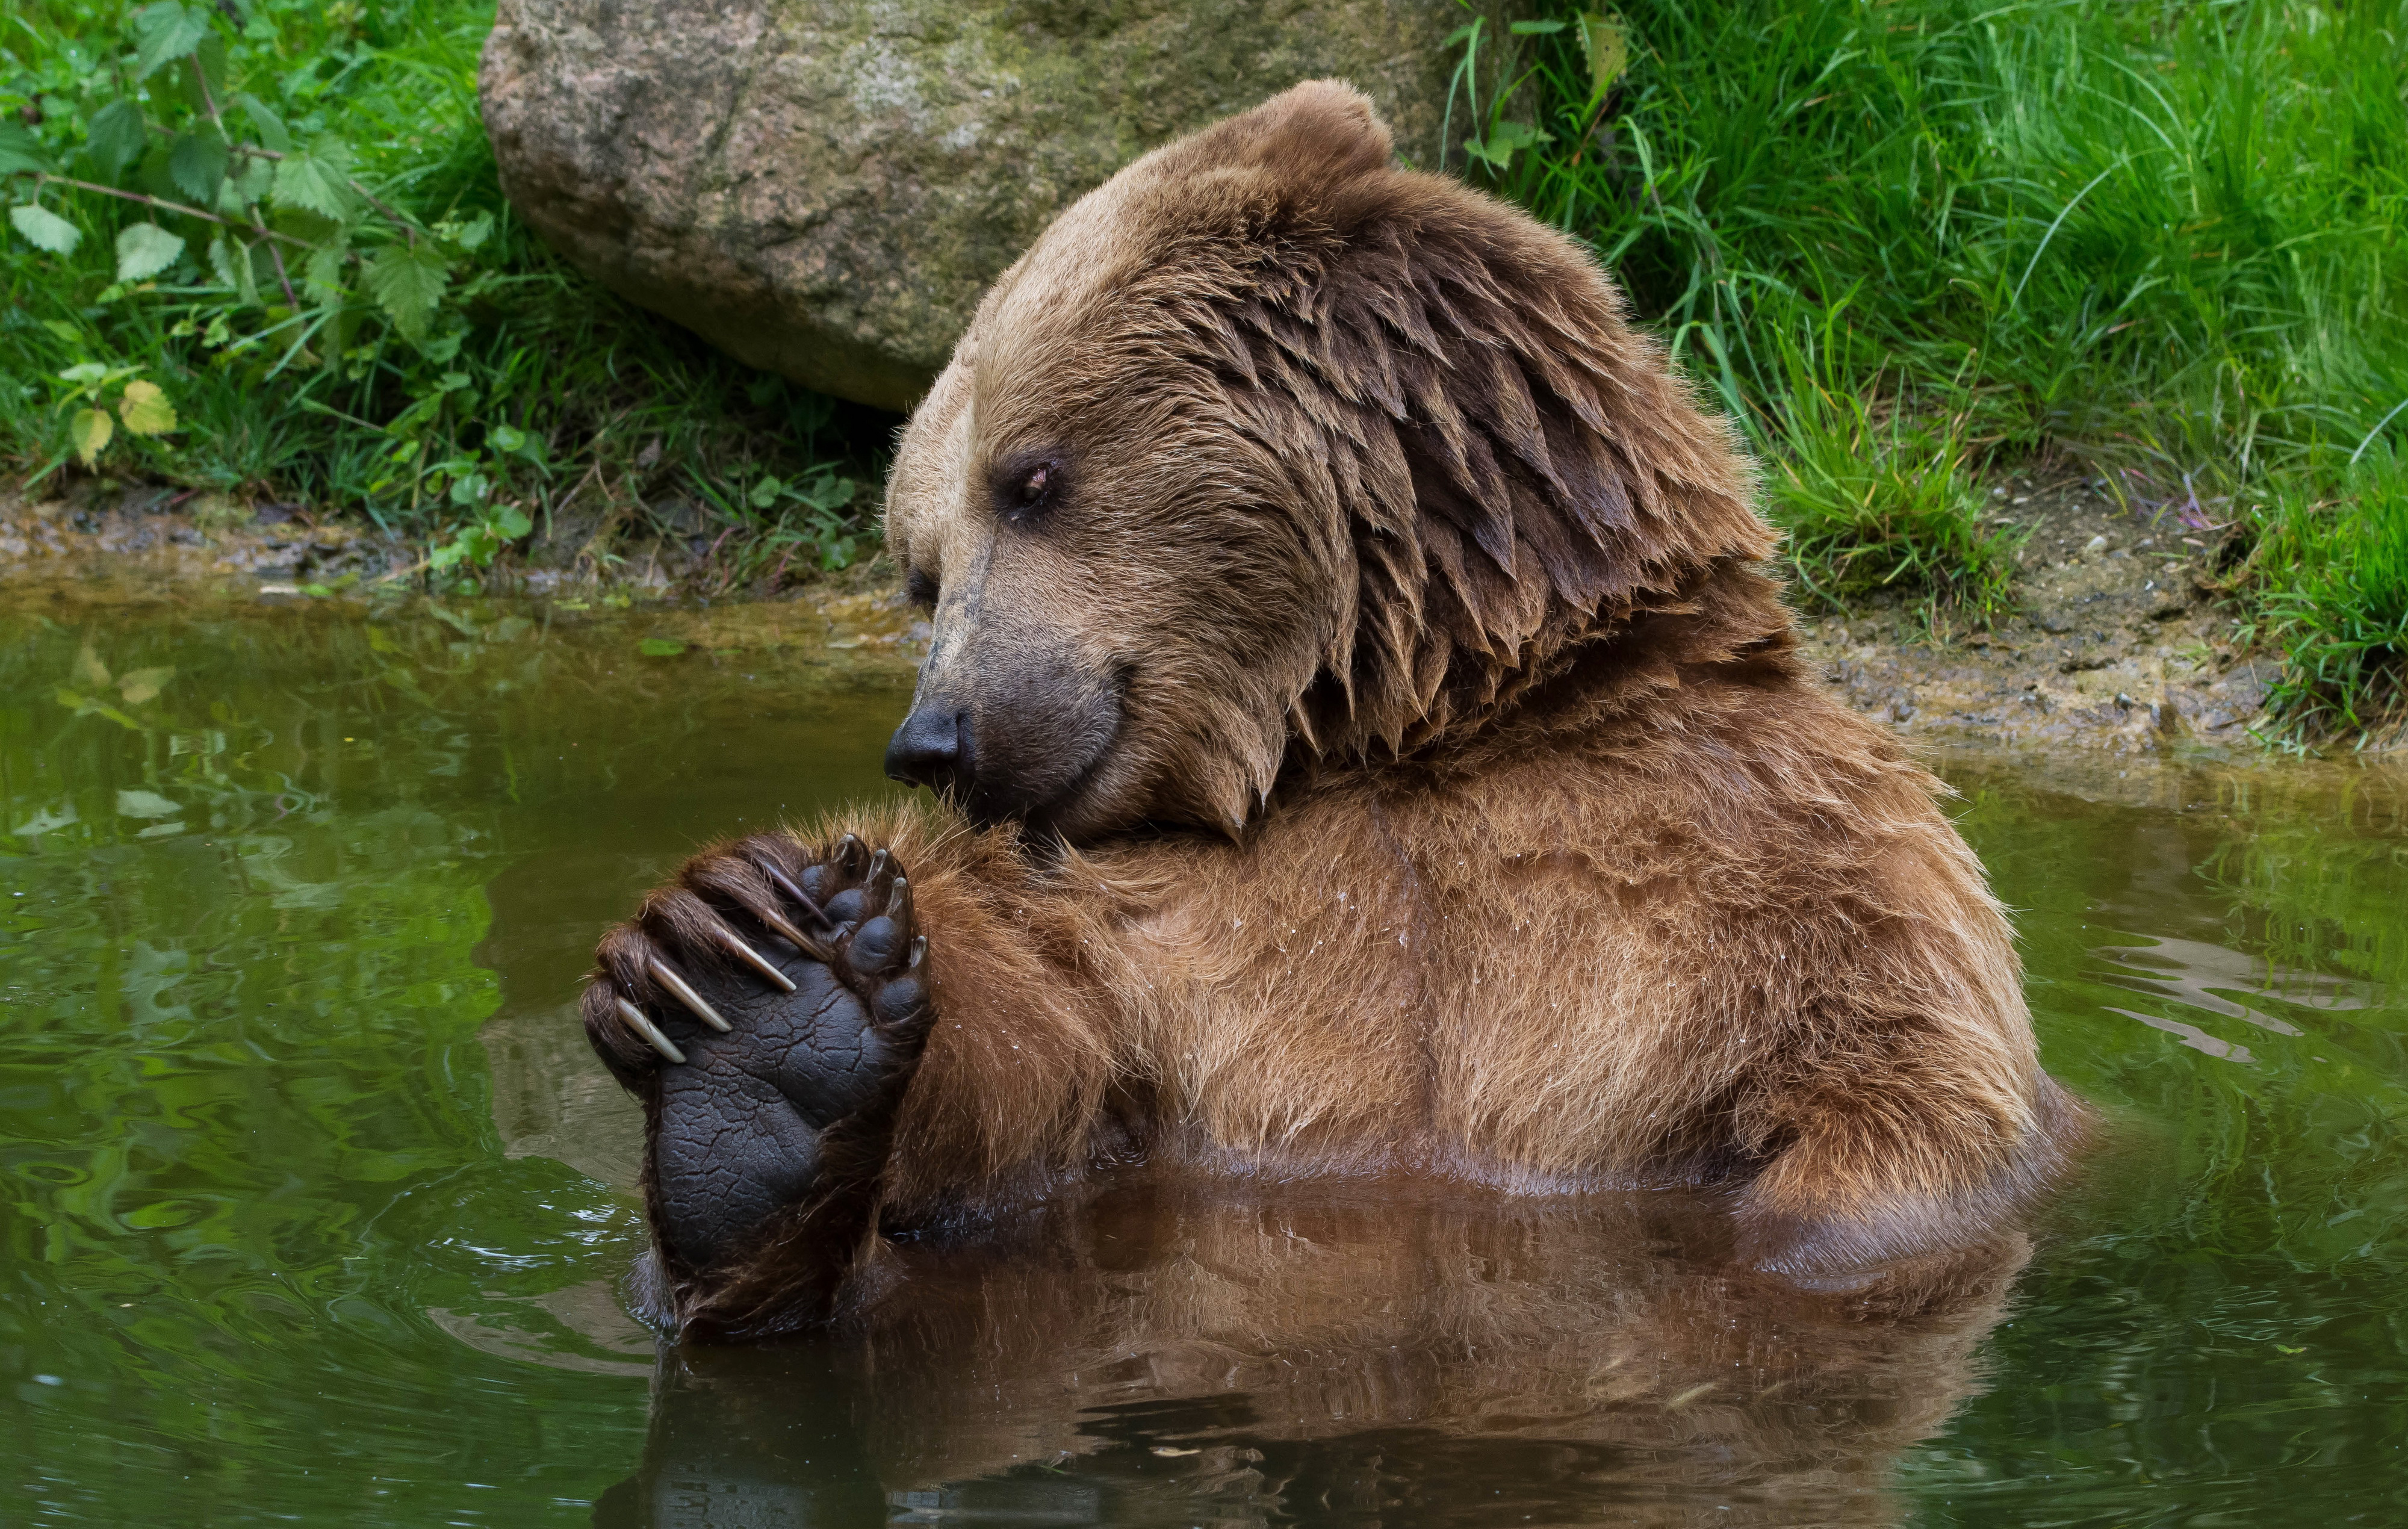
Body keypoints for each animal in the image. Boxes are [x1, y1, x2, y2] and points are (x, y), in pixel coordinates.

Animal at [583, 81, 2090, 1339]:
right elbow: (1038, 1065)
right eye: (918, 565)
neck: (1413, 730)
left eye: (1032, 478)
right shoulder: (1172, 947)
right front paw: (758, 990)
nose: (935, 738)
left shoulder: (1784, 875)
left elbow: (1894, 1109)